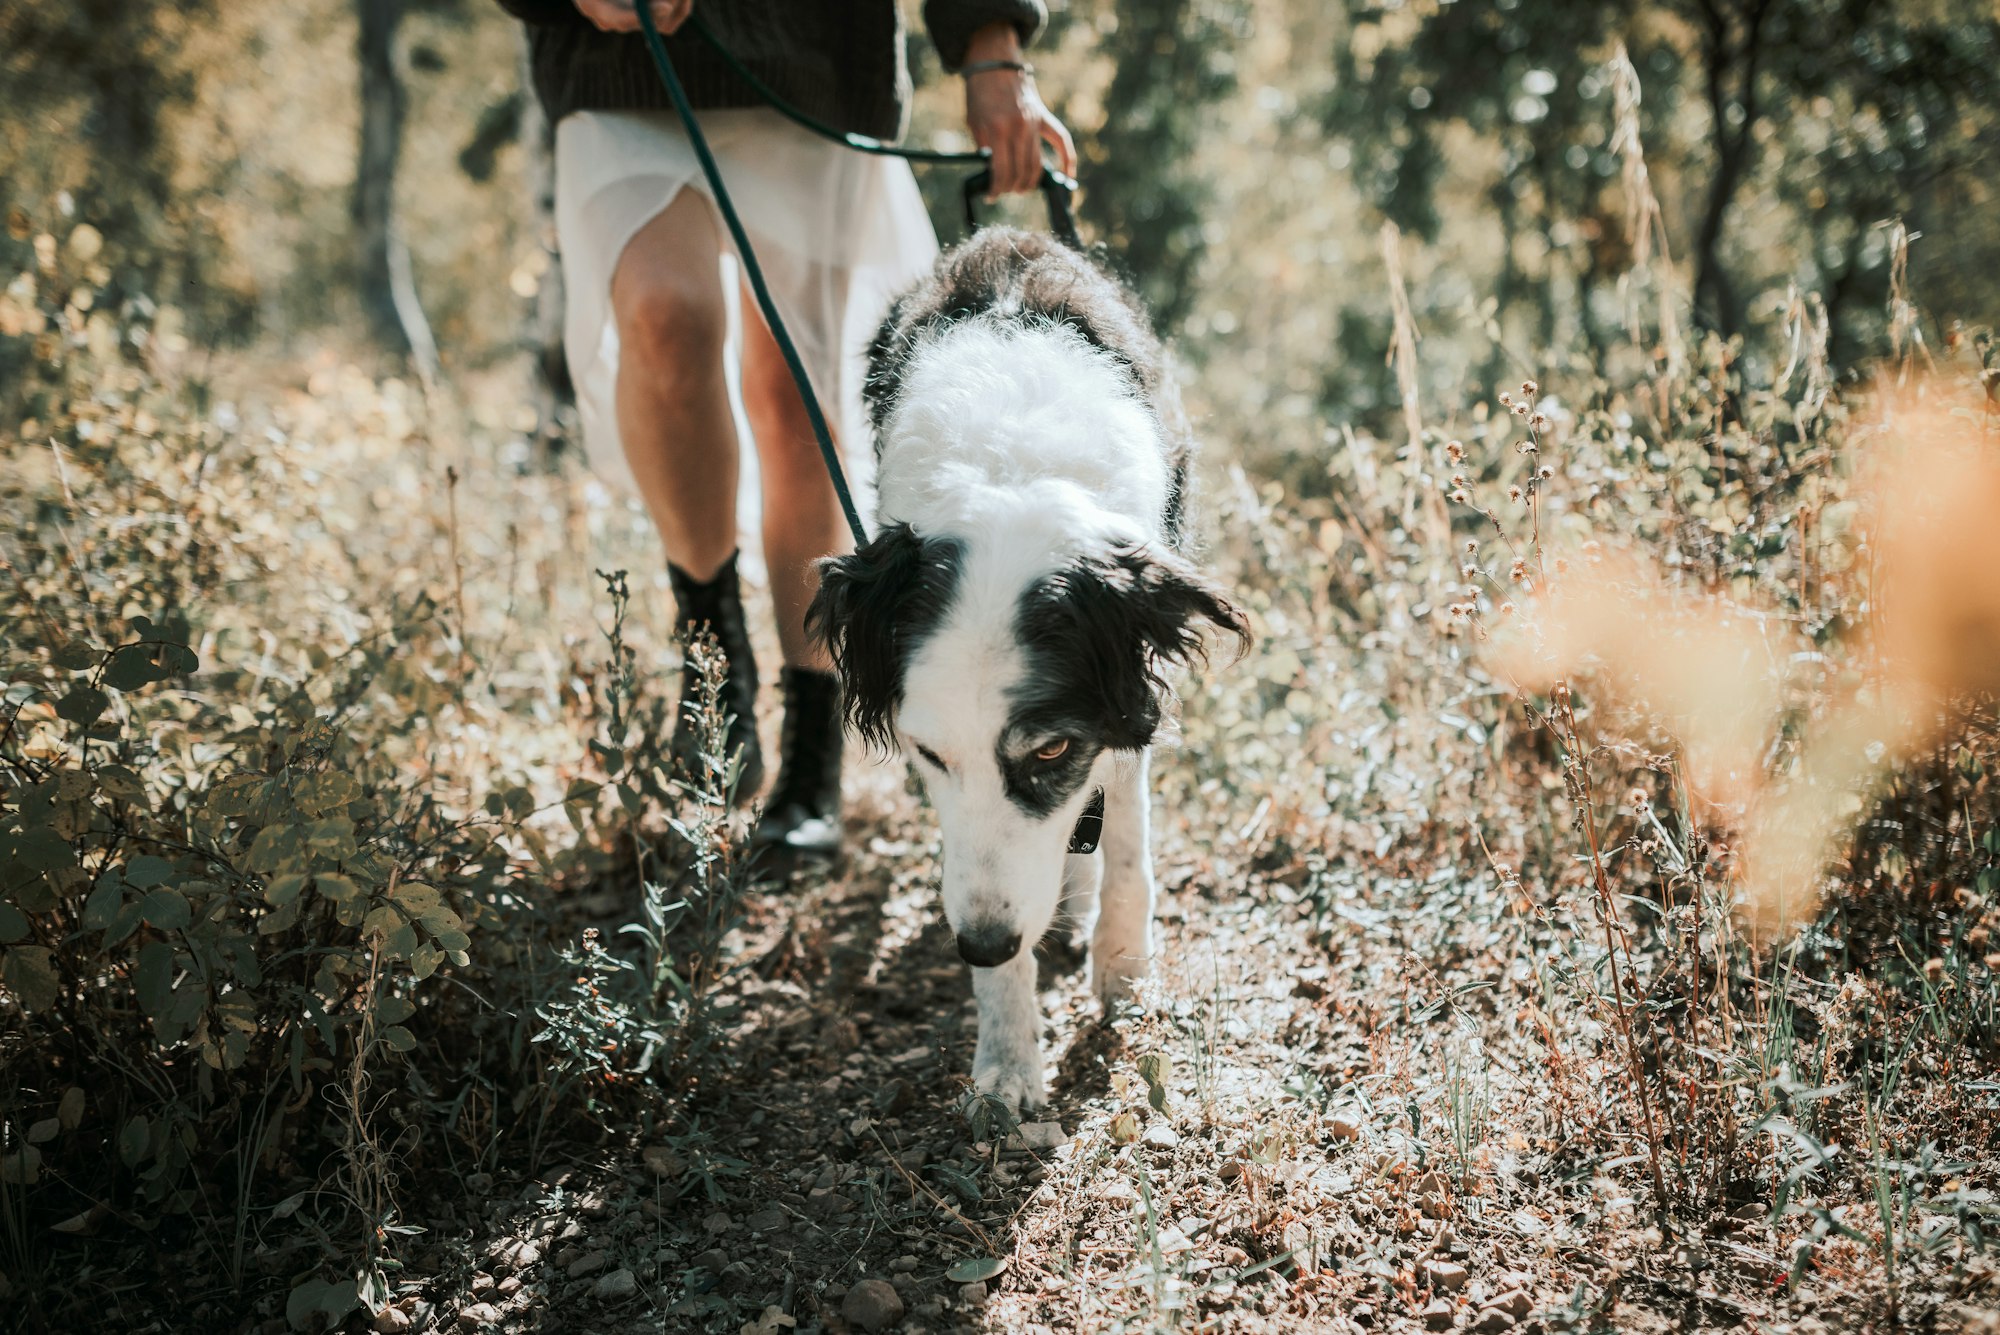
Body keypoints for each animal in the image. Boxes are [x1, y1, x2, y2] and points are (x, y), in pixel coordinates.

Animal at [804, 229, 1240, 1119]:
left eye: (1050, 750)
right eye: (928, 756)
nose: (979, 944)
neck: (1011, 474)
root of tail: (1005, 237)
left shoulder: (1122, 701)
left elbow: (1128, 844)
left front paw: (1123, 969)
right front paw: (1007, 1058)